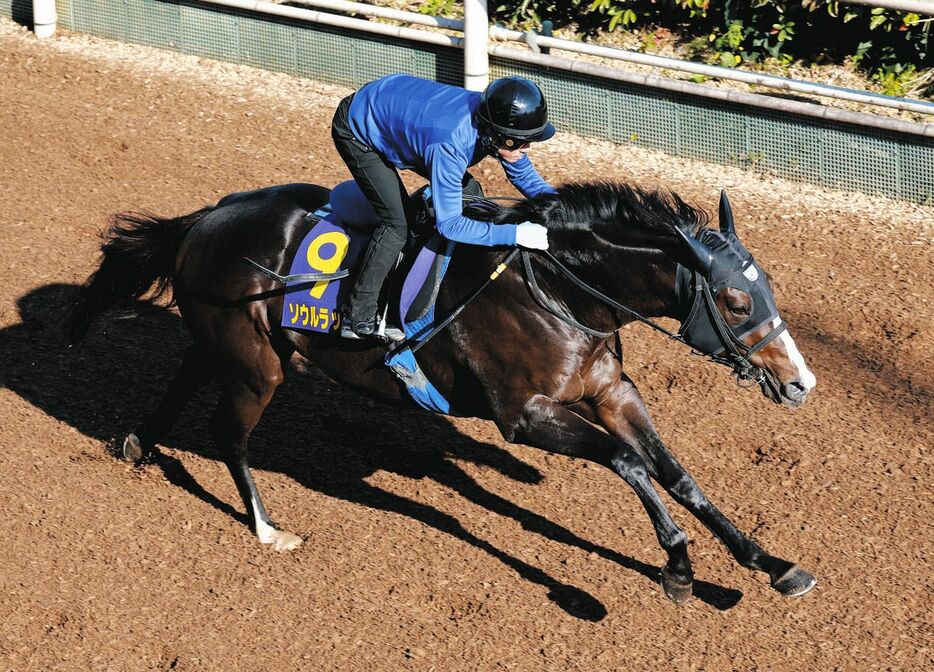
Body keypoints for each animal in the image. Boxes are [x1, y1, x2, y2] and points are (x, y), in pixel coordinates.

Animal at [64, 180, 820, 604]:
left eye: (768, 290)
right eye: (735, 300)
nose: (800, 383)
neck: (561, 289)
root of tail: (205, 217)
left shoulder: (612, 392)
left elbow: (676, 473)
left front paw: (770, 563)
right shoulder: (525, 415)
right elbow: (630, 464)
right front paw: (679, 567)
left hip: (232, 343)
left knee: (186, 378)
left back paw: (137, 443)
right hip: (258, 369)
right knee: (228, 432)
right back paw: (268, 527)